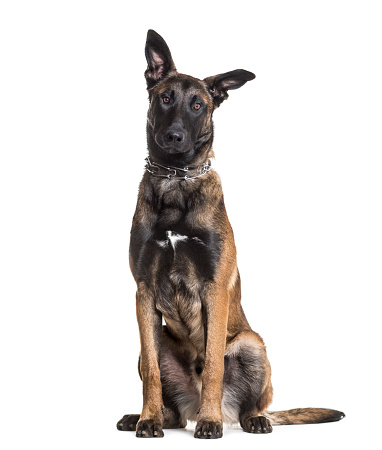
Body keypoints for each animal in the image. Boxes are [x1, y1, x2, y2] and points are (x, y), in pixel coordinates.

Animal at [115, 29, 344, 438]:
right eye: (165, 98)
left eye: (197, 105)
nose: (174, 136)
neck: (176, 181)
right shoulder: (143, 292)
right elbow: (153, 374)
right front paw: (148, 420)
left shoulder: (214, 289)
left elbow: (214, 366)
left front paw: (208, 424)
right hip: (152, 345)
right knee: (171, 405)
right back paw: (149, 416)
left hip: (252, 344)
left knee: (250, 403)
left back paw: (243, 418)